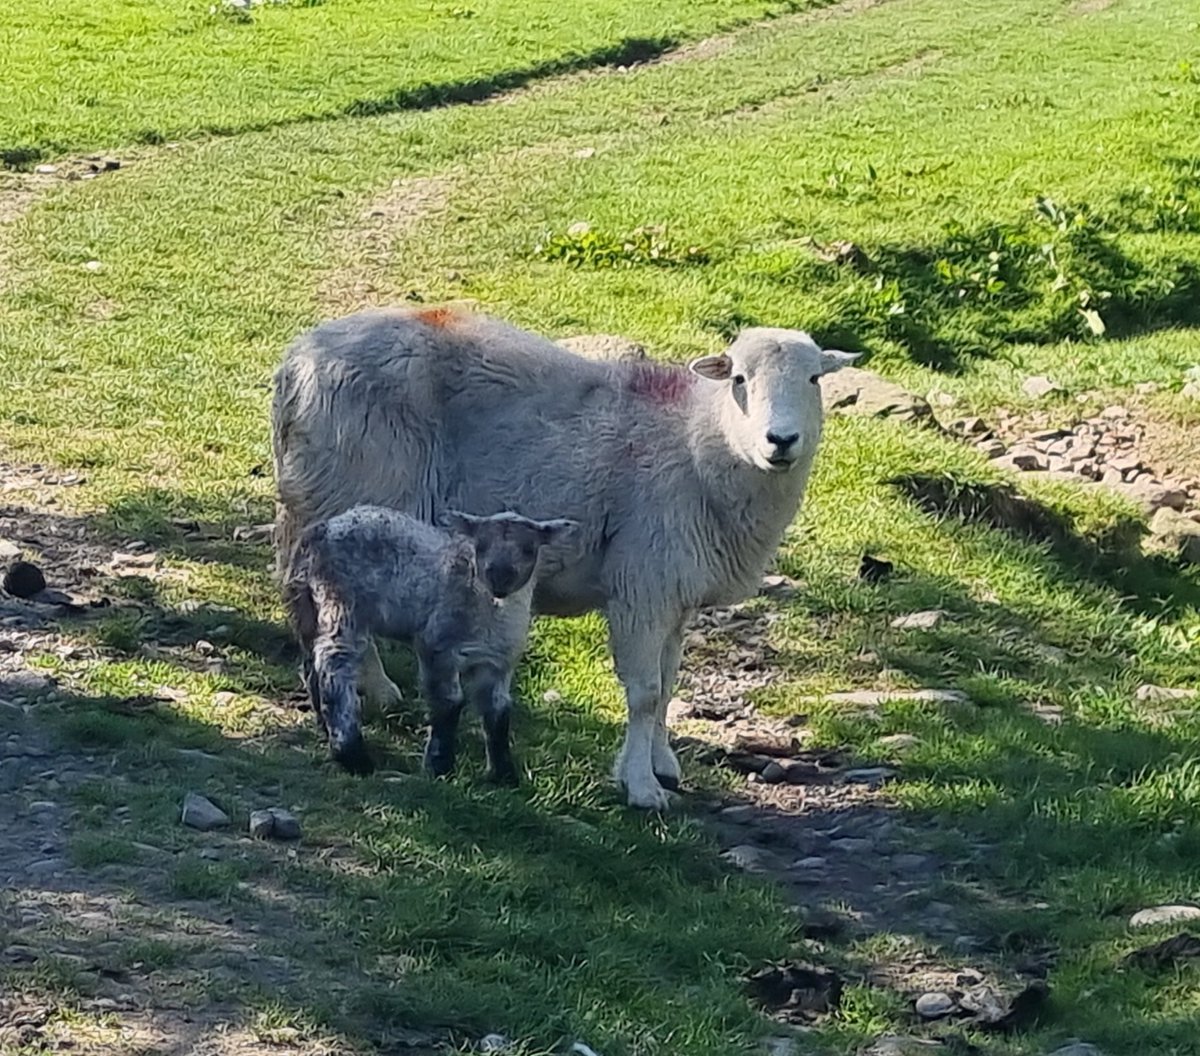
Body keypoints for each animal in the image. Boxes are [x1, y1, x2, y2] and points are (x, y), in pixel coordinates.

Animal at [284, 504, 577, 778]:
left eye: (529, 549)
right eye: (480, 545)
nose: (499, 576)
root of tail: (321, 529)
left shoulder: (497, 663)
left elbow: (499, 713)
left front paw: (504, 775)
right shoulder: (438, 645)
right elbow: (450, 703)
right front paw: (439, 765)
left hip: (306, 604)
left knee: (311, 664)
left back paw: (325, 727)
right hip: (342, 599)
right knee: (335, 662)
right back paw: (353, 755)